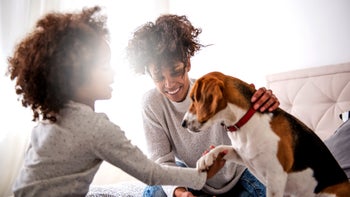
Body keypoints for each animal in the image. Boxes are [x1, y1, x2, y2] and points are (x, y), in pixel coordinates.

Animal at [182, 72, 348, 197]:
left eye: (194, 98)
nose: (183, 124)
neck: (245, 122)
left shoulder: (276, 178)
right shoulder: (243, 155)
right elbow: (222, 147)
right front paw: (205, 159)